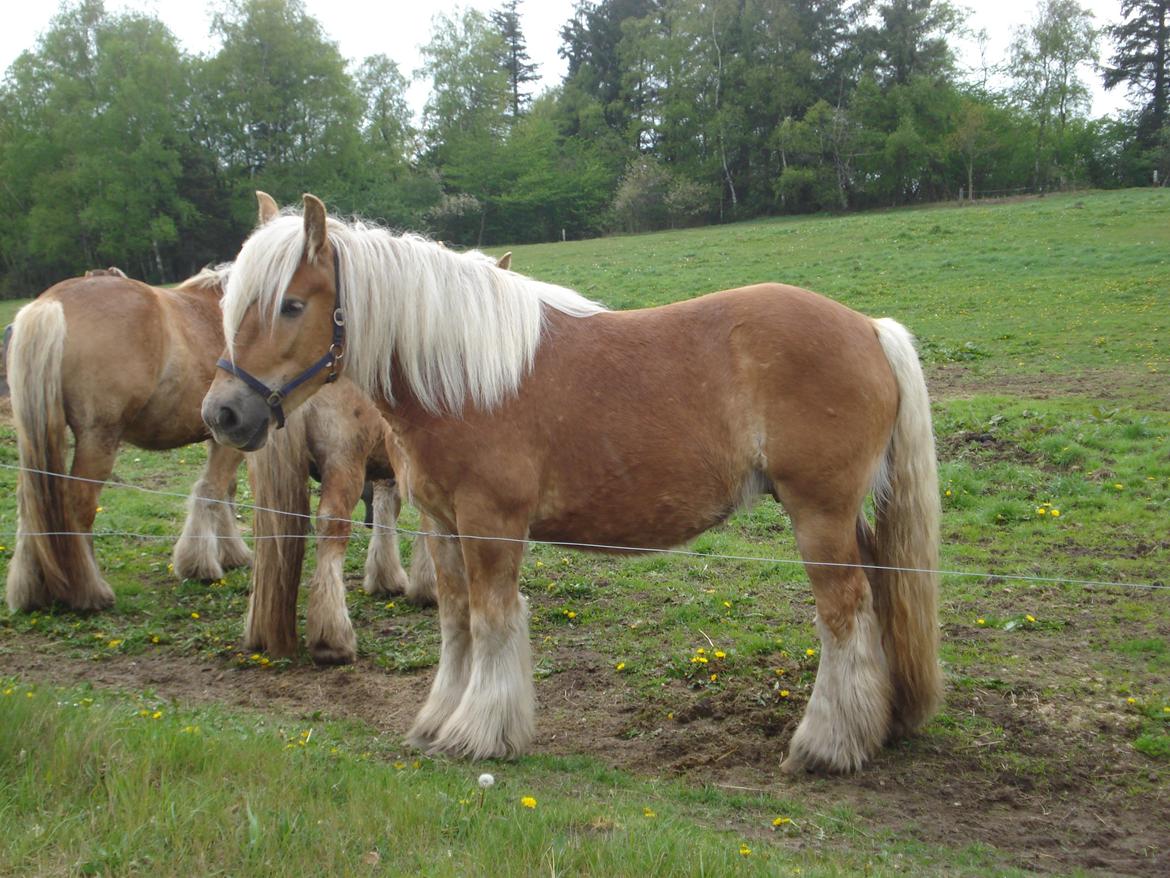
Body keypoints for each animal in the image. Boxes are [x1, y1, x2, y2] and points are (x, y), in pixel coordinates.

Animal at [205, 195, 945, 772]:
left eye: (291, 304)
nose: (224, 413)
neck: (460, 376)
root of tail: (870, 329)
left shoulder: (491, 523)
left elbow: (494, 619)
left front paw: (482, 732)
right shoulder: (442, 525)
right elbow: (456, 623)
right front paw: (439, 720)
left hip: (818, 514)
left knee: (844, 613)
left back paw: (826, 746)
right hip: (847, 517)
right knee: (877, 598)